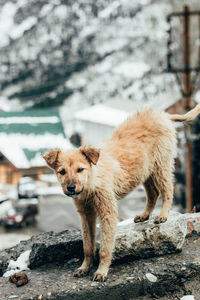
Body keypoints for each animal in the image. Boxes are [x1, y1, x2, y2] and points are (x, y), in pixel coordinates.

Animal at [43, 103, 200, 282]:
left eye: (80, 169)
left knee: (167, 190)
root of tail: (163, 115)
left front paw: (101, 271)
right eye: (62, 172)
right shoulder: (86, 215)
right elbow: (88, 246)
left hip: (161, 165)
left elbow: (104, 248)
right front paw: (84, 267)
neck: (92, 181)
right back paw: (145, 215)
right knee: (153, 194)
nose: (70, 188)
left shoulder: (108, 213)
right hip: (144, 171)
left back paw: (162, 215)